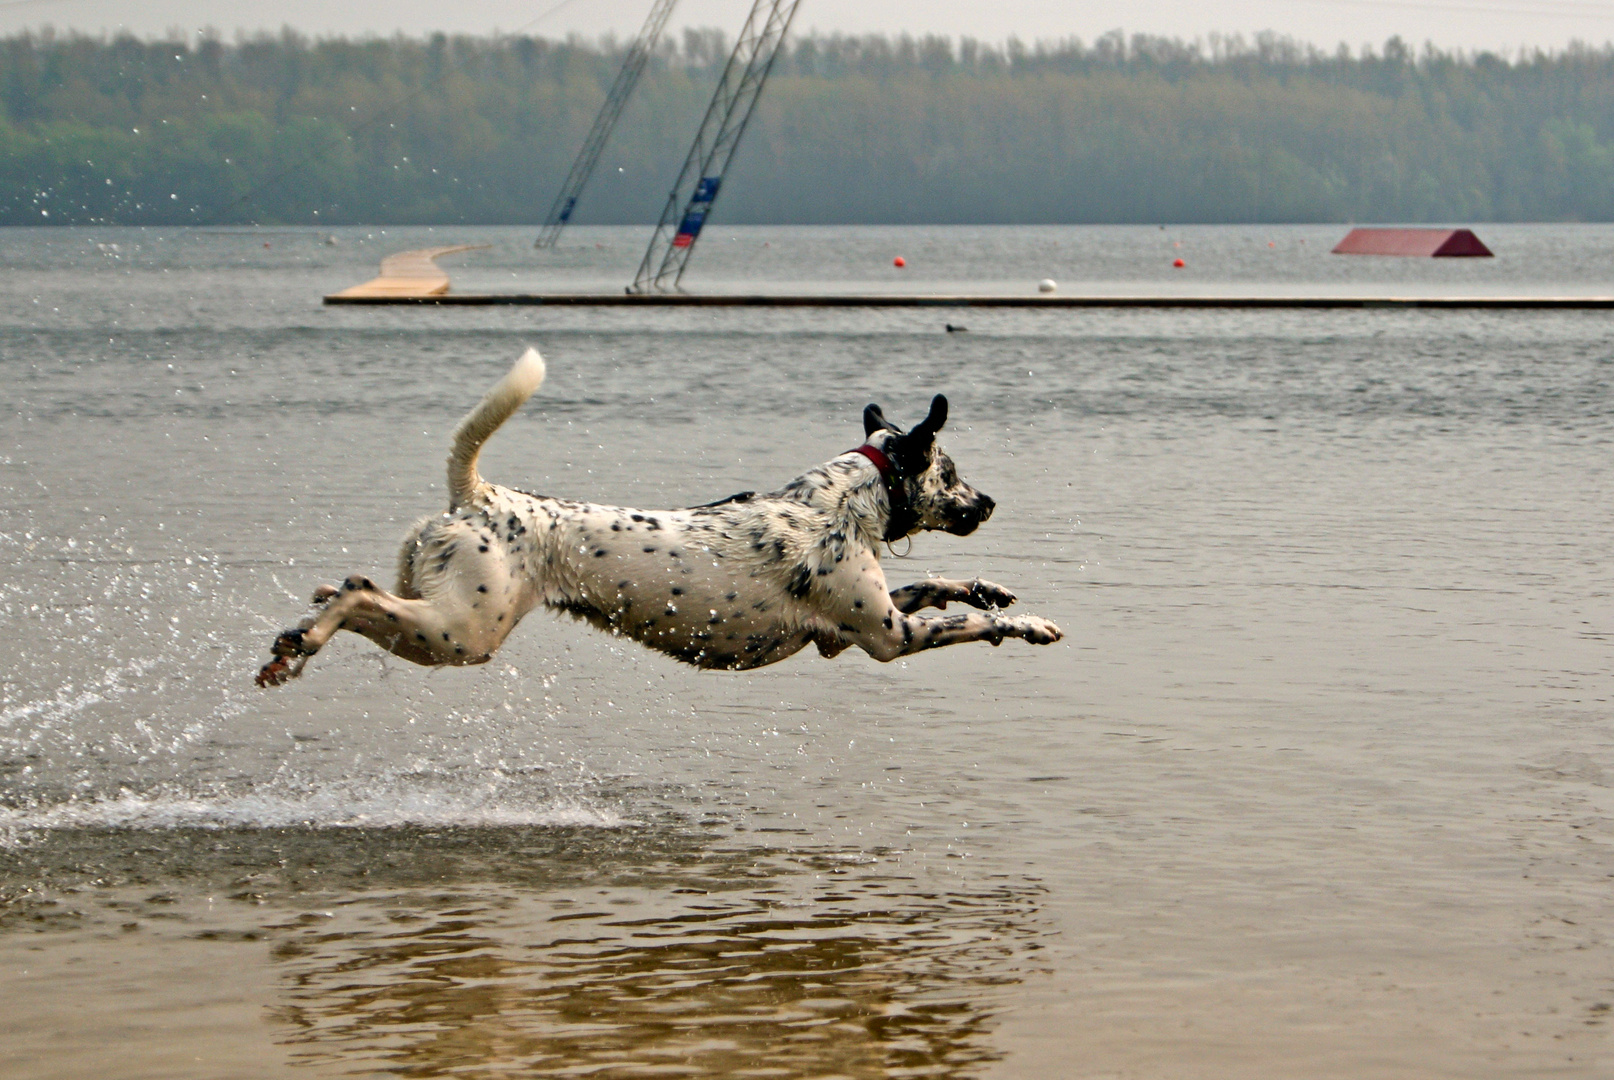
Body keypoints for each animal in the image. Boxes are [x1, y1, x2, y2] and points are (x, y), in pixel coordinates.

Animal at [255, 350, 1058, 687]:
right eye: (951, 474)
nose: (990, 503)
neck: (836, 503)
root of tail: (478, 495)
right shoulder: (890, 638)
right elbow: (970, 623)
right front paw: (1025, 622)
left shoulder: (850, 631)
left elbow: (941, 583)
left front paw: (990, 587)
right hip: (461, 632)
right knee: (358, 595)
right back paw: (305, 639)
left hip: (434, 610)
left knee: (350, 587)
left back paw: (299, 635)